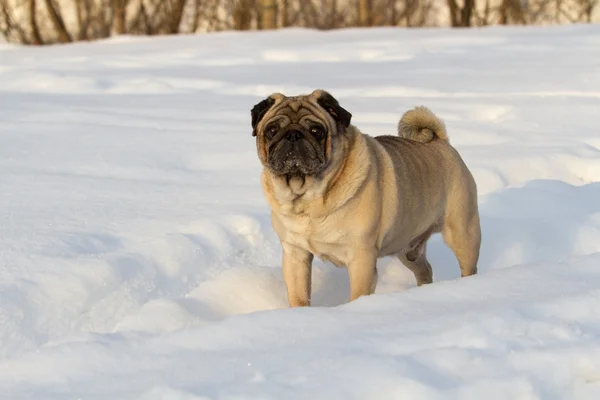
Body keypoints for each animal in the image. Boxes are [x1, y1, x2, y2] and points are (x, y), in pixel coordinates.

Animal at [251, 90, 480, 306]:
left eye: (317, 131)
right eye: (271, 131)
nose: (293, 135)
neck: (308, 198)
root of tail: (440, 141)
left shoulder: (361, 258)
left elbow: (358, 294)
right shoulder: (295, 255)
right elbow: (299, 295)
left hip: (462, 233)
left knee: (467, 266)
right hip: (408, 249)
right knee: (425, 269)